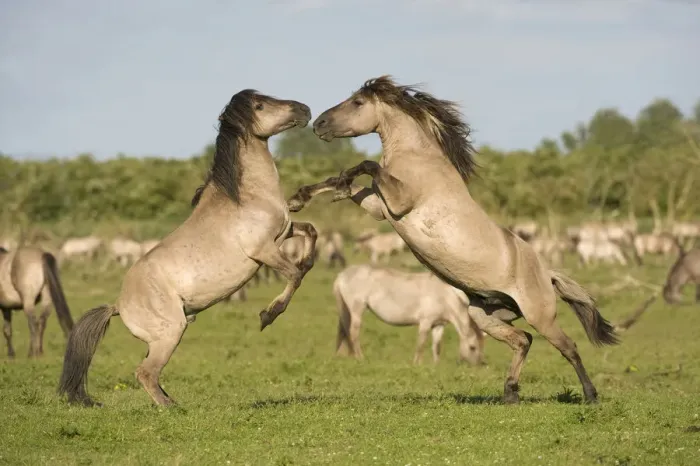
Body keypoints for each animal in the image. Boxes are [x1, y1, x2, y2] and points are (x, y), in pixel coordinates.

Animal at [58, 89, 315, 407]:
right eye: (259, 105)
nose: (304, 109)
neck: (248, 196)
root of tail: (118, 305)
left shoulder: (284, 233)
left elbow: (310, 234)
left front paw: (305, 261)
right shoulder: (263, 250)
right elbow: (294, 275)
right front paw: (268, 315)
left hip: (161, 339)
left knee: (151, 373)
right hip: (171, 333)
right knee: (145, 373)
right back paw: (171, 408)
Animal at [333, 264, 485, 365]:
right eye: (473, 347)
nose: (477, 366)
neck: (444, 296)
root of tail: (341, 275)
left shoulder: (439, 325)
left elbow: (436, 346)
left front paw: (436, 365)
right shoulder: (425, 322)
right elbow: (421, 343)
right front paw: (417, 363)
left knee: (343, 331)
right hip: (356, 310)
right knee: (353, 333)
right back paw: (360, 357)